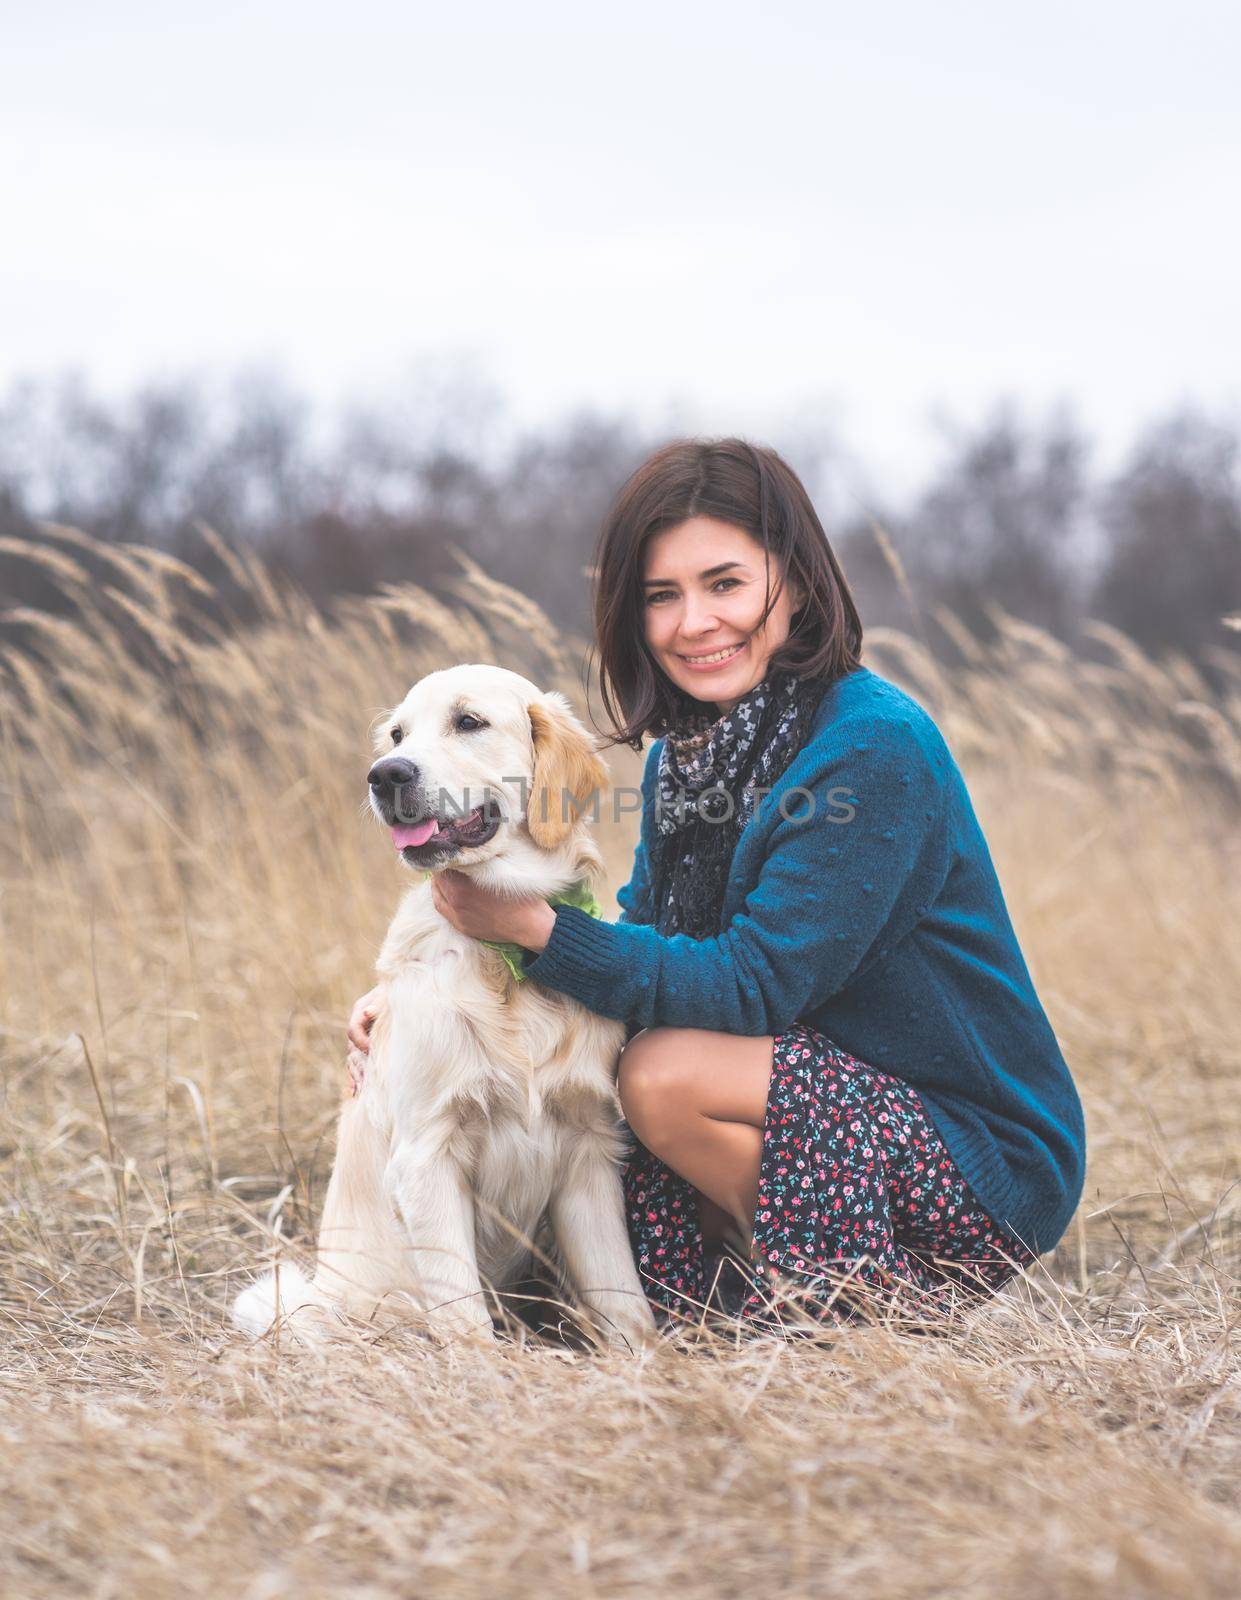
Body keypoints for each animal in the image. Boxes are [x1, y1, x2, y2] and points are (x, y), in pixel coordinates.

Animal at [233, 662, 658, 1350]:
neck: (509, 962)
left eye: (469, 721)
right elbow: (463, 1317)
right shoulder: (427, 1154)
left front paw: (647, 1360)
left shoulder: (588, 1149)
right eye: (397, 734)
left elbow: (622, 1296)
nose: (386, 775)